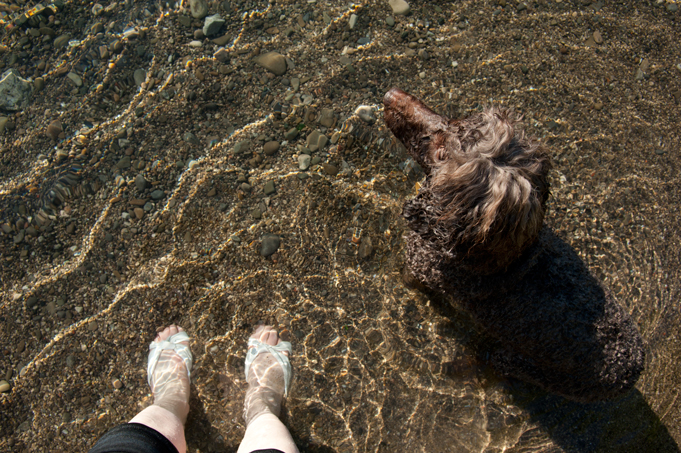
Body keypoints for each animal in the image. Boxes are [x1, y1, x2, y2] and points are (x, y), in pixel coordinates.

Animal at [382, 86, 644, 400]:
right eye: (456, 120)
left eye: (442, 151)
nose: (391, 95)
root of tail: (630, 372)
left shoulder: (419, 271)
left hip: (523, 364)